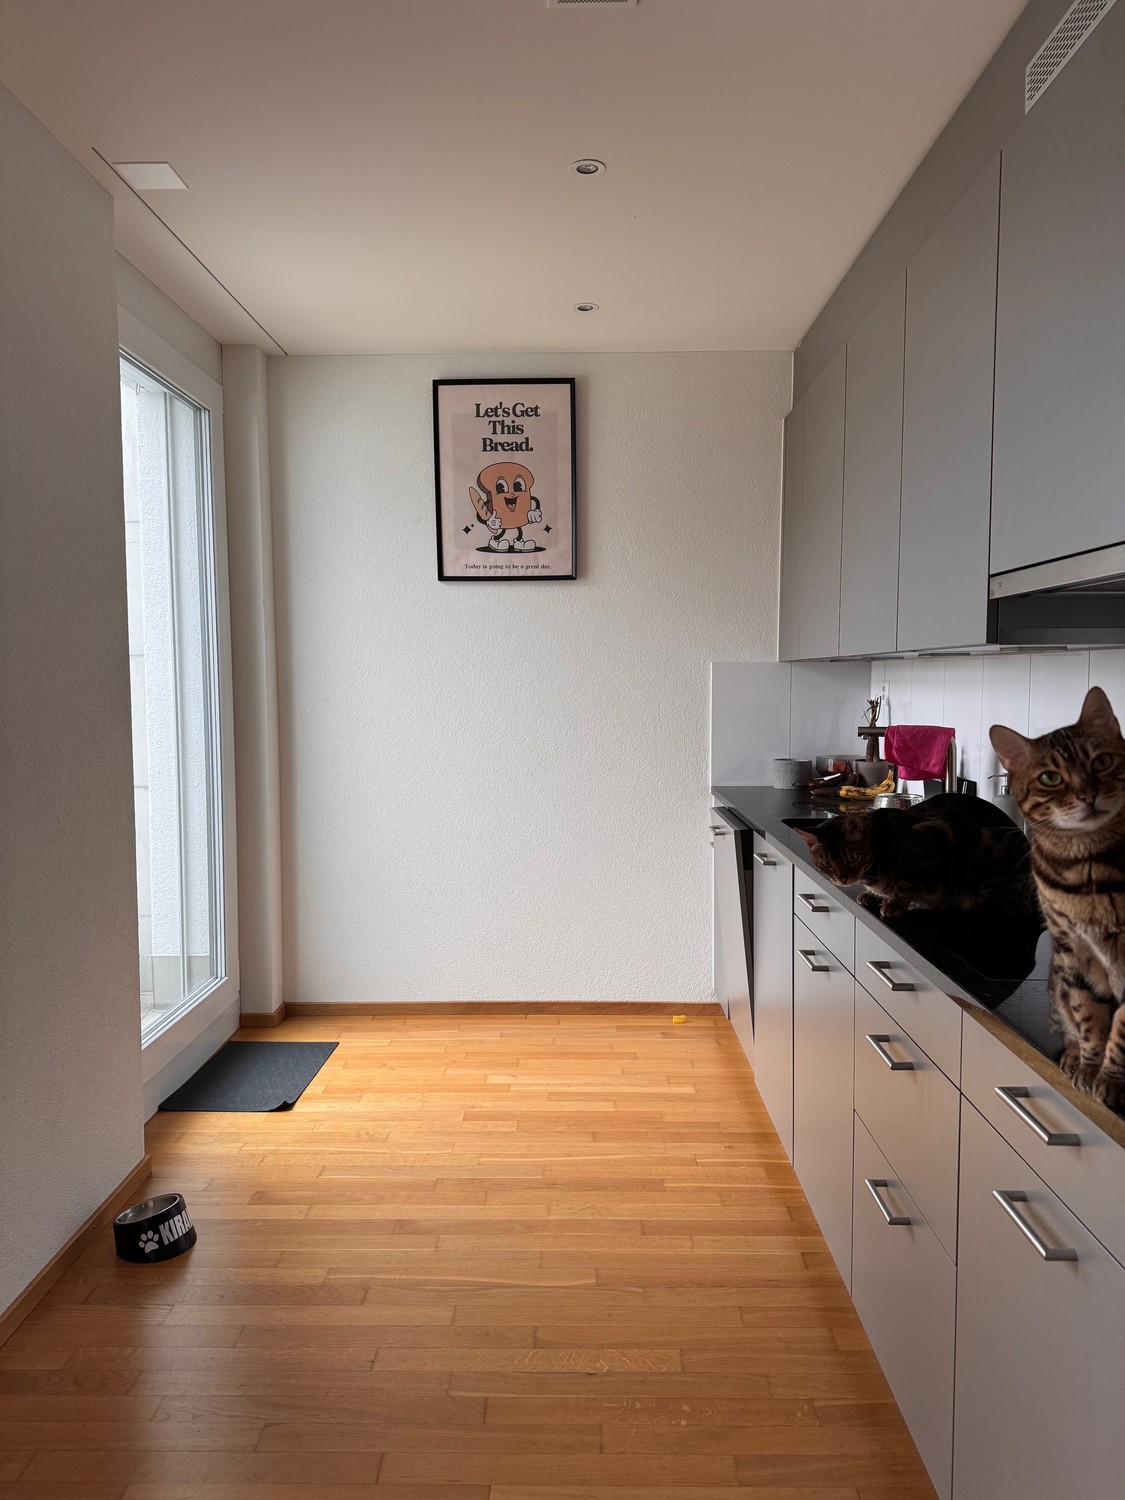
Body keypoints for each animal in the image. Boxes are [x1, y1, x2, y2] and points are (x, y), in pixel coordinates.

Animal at [796, 793, 1035, 923]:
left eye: (852, 857)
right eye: (826, 863)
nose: (842, 879)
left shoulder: (935, 839)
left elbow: (907, 884)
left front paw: (895, 904)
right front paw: (873, 895)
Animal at [991, 685, 1125, 1109]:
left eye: (1102, 762)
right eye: (1050, 778)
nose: (1088, 795)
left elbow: (1118, 1028)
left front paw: (1109, 1080)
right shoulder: (1071, 947)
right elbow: (1089, 1016)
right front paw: (1090, 1069)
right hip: (1057, 979)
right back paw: (1071, 1057)